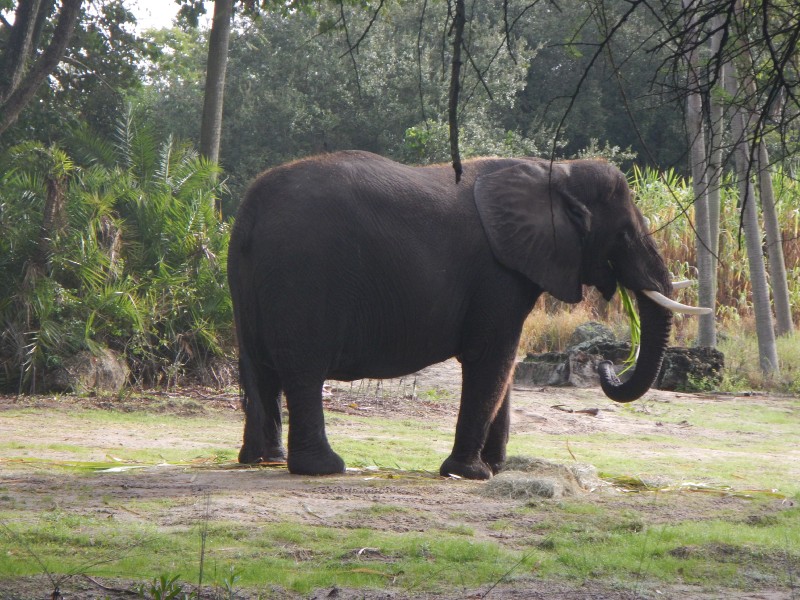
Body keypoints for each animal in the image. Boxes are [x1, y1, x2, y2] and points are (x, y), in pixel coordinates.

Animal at [227, 150, 707, 480]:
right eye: (623, 234)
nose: (608, 363)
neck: (555, 171)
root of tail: (248, 212)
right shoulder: (497, 274)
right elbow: (492, 357)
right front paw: (470, 473)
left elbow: (504, 365)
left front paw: (495, 469)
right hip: (302, 277)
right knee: (303, 371)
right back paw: (324, 467)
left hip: (248, 280)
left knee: (257, 367)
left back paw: (263, 458)